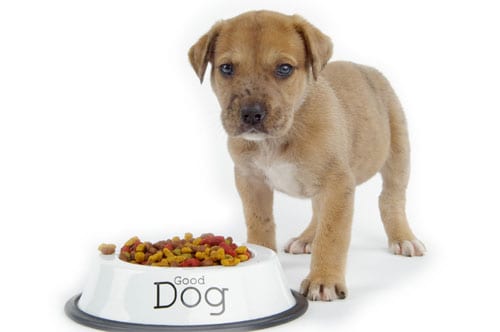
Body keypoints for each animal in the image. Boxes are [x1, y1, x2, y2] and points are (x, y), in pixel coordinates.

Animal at [189, 10, 424, 300]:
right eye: (226, 68)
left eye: (284, 68)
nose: (252, 114)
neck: (277, 139)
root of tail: (366, 68)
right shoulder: (250, 180)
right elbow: (260, 222)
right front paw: (261, 255)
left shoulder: (338, 184)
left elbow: (331, 236)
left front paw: (323, 279)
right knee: (317, 210)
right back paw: (307, 237)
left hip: (398, 151)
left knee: (391, 199)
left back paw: (403, 238)